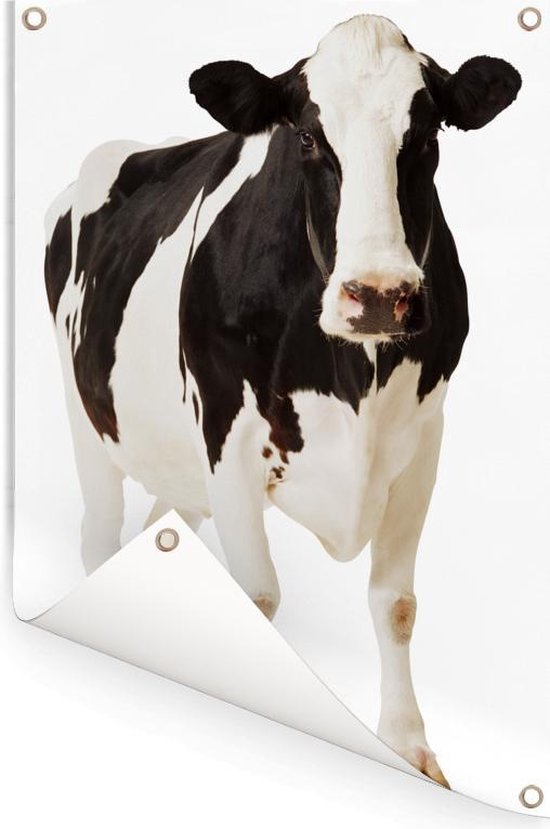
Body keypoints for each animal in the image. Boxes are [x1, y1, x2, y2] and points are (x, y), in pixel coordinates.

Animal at [44, 14, 521, 787]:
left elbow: (396, 604)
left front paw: (409, 748)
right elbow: (259, 594)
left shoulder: (423, 444)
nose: (380, 294)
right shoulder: (227, 438)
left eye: (426, 137)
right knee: (99, 532)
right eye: (306, 138)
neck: (353, 373)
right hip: (84, 411)